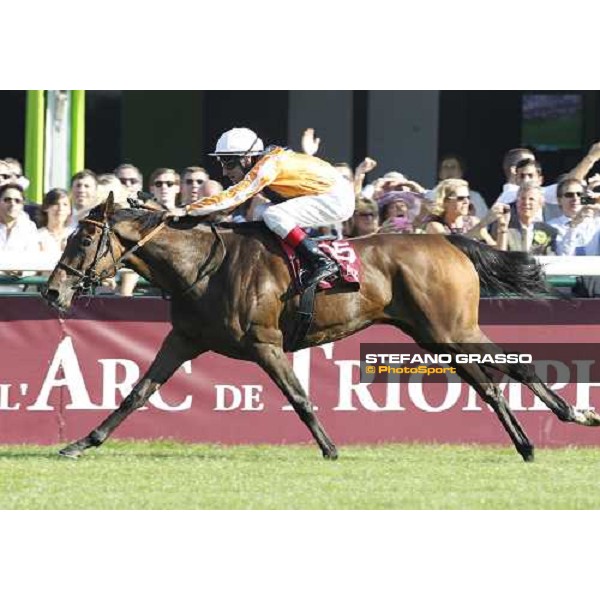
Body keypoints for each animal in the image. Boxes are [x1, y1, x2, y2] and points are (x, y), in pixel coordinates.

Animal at [43, 195, 600, 462]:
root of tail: (448, 241)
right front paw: (81, 443)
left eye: (83, 240)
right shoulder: (183, 339)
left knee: (504, 371)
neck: (203, 264)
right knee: (495, 379)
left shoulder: (265, 343)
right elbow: (137, 393)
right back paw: (540, 434)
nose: (52, 292)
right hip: (434, 334)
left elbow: (300, 397)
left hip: (448, 328)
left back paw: (560, 421)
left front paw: (331, 448)